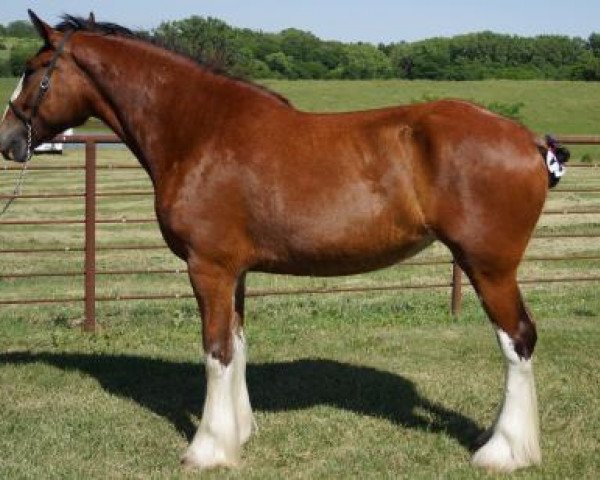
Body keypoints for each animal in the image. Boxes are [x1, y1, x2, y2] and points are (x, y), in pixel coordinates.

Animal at [1, 11, 548, 472]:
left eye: (32, 69)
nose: (8, 140)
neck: (200, 131)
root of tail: (530, 140)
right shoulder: (235, 271)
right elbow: (237, 346)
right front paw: (239, 432)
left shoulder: (208, 268)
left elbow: (216, 350)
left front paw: (207, 449)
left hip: (489, 267)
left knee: (518, 341)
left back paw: (504, 452)